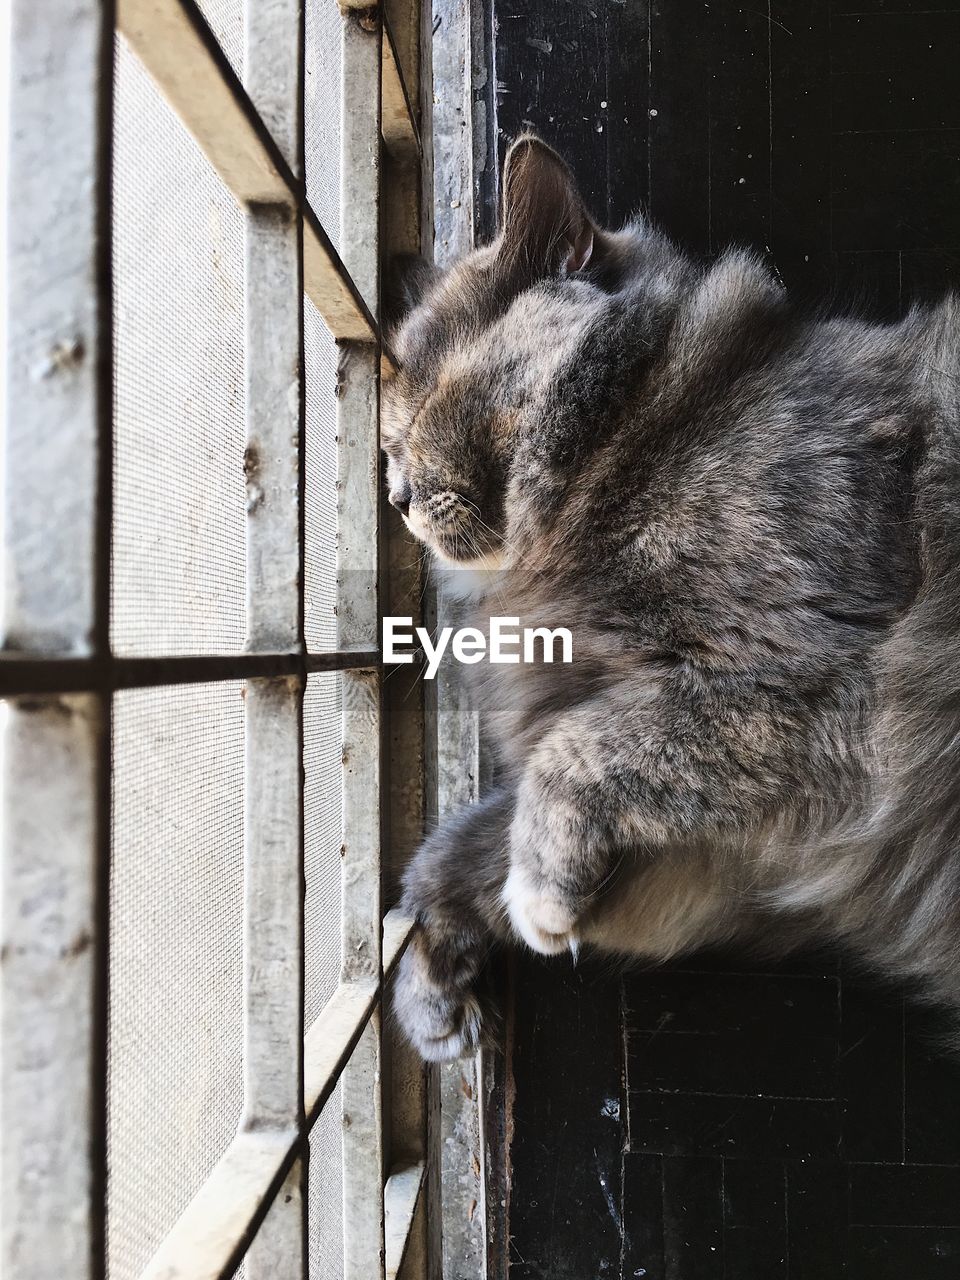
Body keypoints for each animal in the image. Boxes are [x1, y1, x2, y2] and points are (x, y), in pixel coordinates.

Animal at [384, 135, 960, 1064]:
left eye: (426, 399)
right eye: (387, 439)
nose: (394, 492)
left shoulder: (814, 687)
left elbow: (574, 752)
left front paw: (539, 896)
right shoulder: (720, 863)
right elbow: (460, 846)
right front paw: (433, 985)